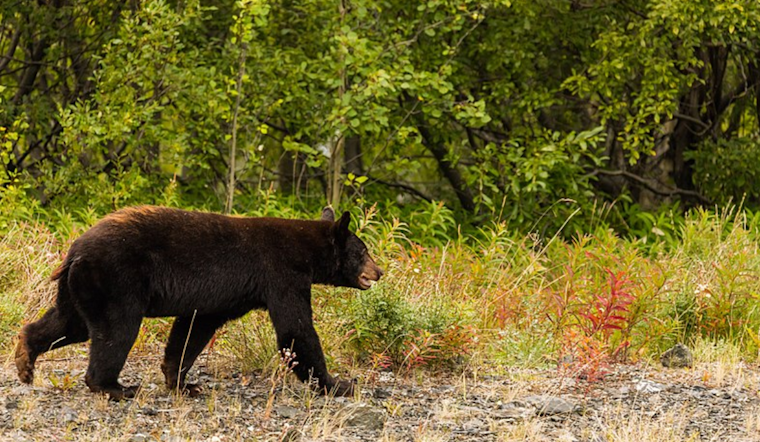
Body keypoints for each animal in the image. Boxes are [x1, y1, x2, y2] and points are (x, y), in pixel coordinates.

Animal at [14, 205, 383, 400]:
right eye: (363, 250)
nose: (378, 271)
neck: (306, 251)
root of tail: (75, 250)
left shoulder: (221, 297)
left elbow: (193, 328)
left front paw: (182, 382)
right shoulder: (282, 274)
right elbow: (296, 329)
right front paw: (339, 383)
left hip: (81, 287)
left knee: (68, 322)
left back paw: (25, 360)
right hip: (116, 280)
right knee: (115, 330)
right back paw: (114, 387)